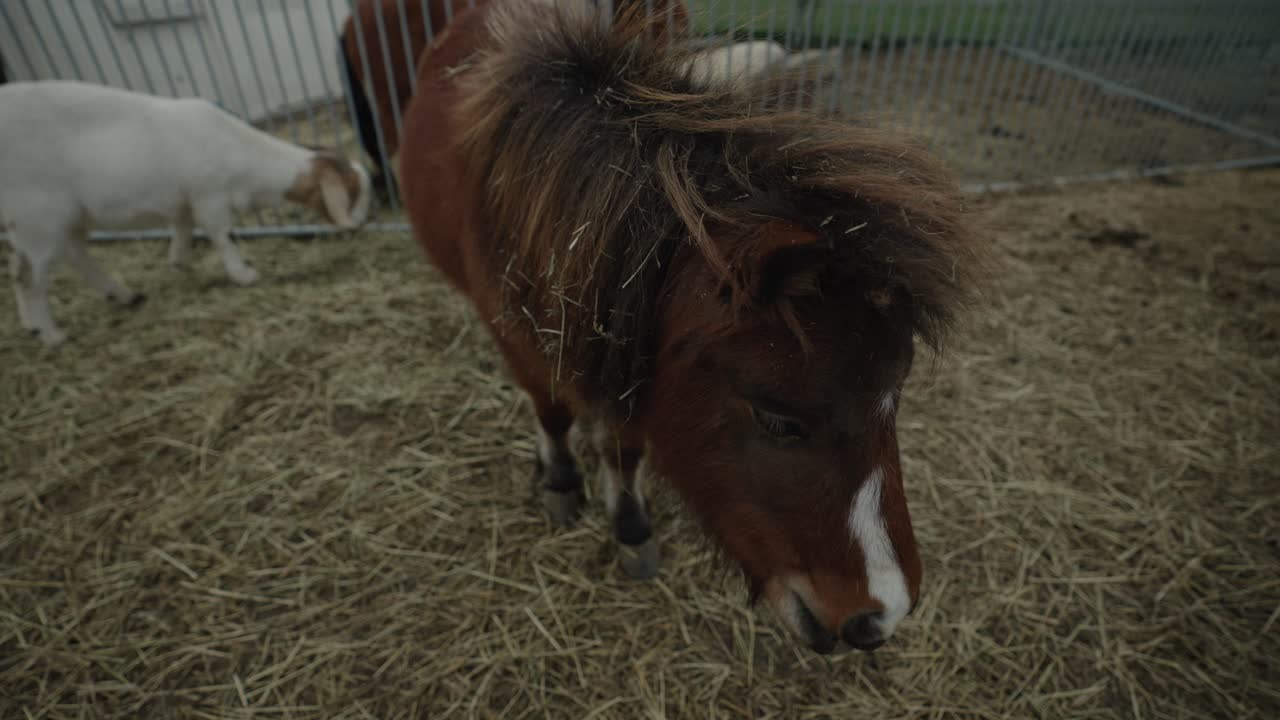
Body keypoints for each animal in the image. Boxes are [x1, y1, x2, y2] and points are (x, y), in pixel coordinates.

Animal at [399, 0, 987, 654]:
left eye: (895, 400)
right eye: (777, 420)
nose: (881, 616)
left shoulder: (632, 355)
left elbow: (623, 444)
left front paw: (629, 524)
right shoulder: (522, 338)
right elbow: (551, 410)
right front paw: (561, 481)